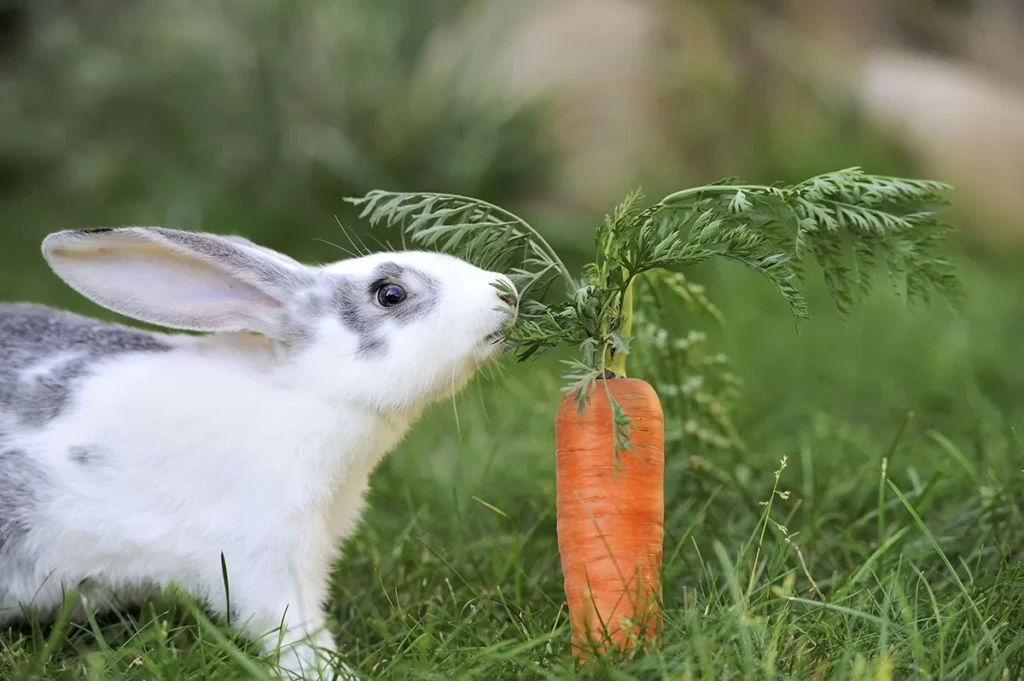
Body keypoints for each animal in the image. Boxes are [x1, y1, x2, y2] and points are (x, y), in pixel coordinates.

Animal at [0, 225, 516, 675]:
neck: (307, 391)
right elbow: (293, 628)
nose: (507, 293)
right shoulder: (266, 555)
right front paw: (329, 673)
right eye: (390, 294)